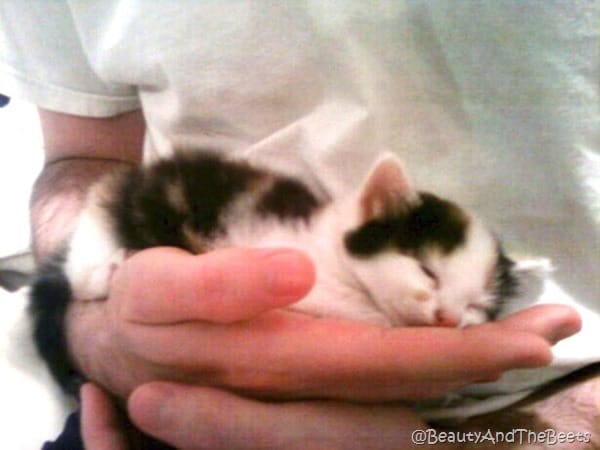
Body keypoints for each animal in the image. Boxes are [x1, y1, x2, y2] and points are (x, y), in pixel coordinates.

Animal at [30, 150, 520, 390]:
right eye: (427, 271)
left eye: (476, 306)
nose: (447, 318)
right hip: (119, 206)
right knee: (84, 258)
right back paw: (106, 269)